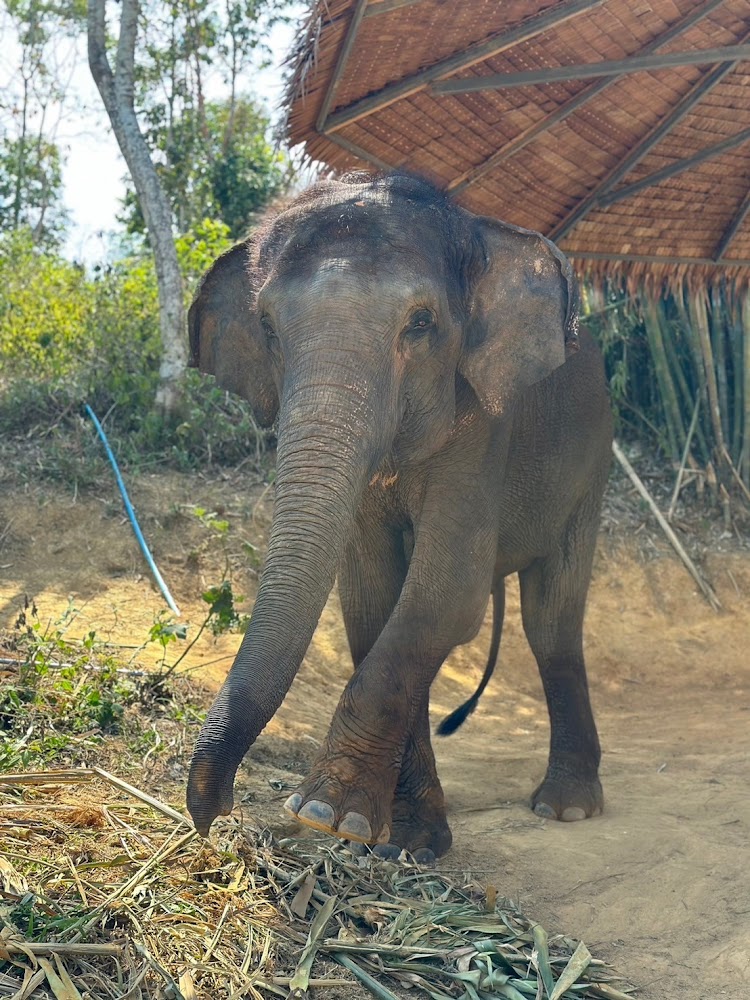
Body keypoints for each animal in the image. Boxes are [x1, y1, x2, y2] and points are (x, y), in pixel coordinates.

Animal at [186, 172, 613, 860]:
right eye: (269, 328)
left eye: (420, 323)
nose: (215, 814)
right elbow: (370, 600)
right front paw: (401, 842)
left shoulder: (485, 427)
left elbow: (448, 595)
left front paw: (323, 813)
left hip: (594, 461)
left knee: (551, 619)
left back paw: (565, 807)